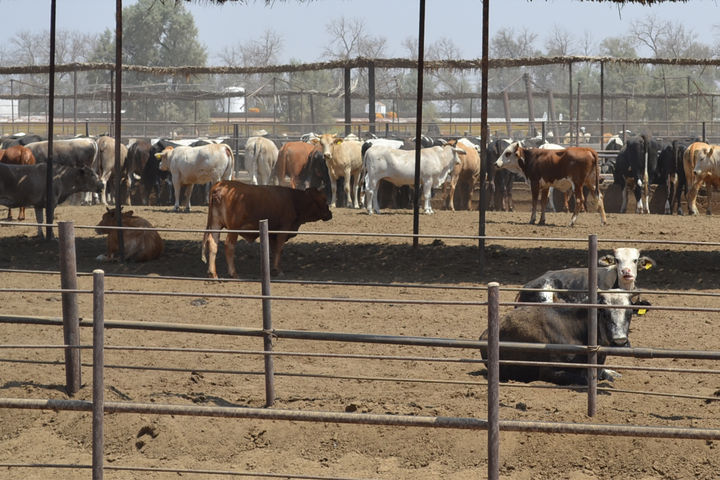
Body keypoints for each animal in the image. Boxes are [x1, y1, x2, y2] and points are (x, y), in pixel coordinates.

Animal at [201, 180, 334, 278]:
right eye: (324, 199)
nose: (330, 214)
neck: (294, 200)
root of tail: (220, 185)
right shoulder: (284, 228)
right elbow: (279, 249)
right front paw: (278, 270)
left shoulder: (271, 232)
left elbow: (272, 249)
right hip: (233, 228)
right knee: (229, 246)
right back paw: (233, 273)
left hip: (216, 224)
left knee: (213, 243)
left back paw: (213, 274)